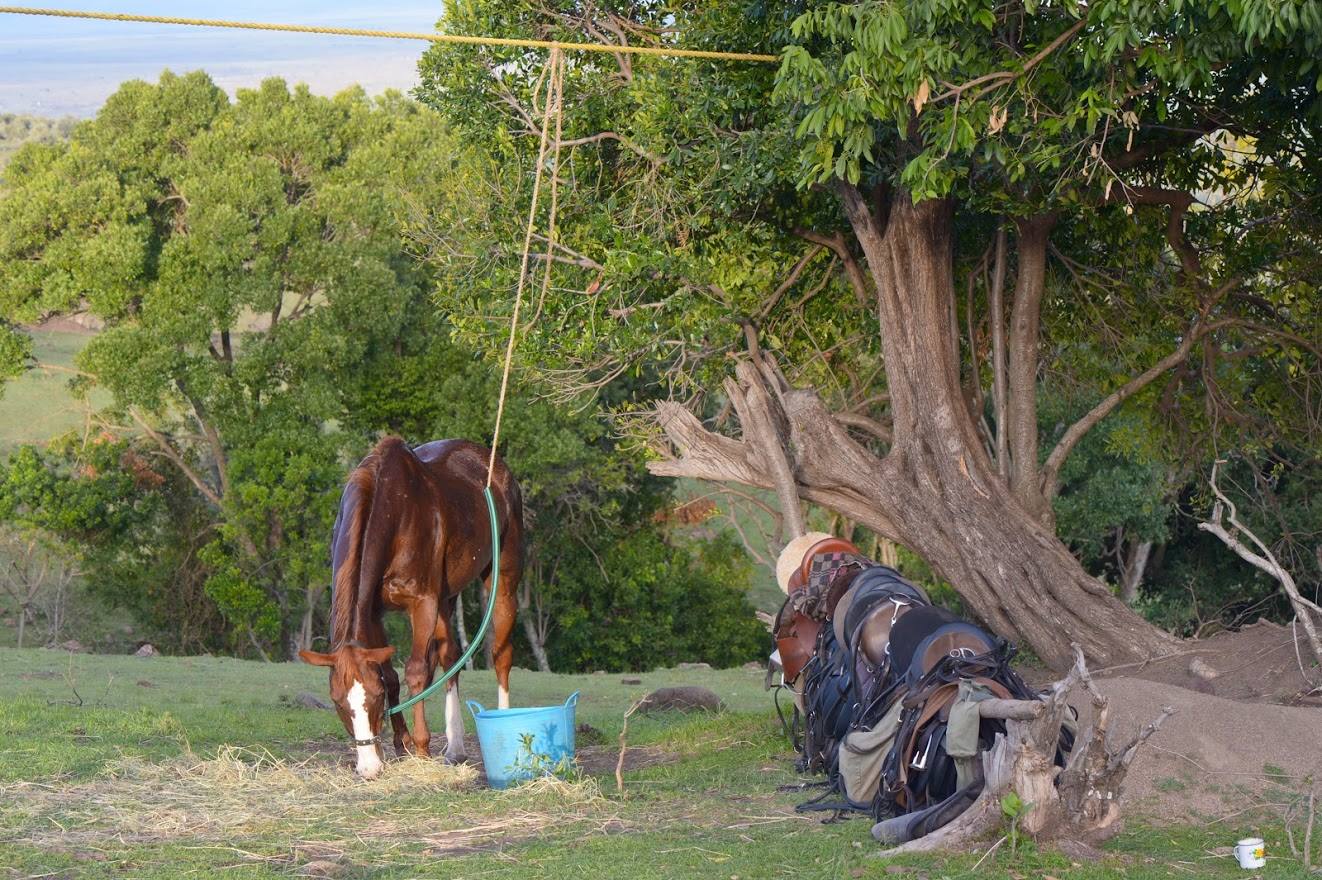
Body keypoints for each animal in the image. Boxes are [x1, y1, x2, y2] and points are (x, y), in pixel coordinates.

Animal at [299, 437, 524, 778]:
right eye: (337, 702)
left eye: (376, 698)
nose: (369, 767)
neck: (394, 510)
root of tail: (492, 462)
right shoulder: (373, 612)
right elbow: (393, 674)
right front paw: (400, 744)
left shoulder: (423, 603)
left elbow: (416, 672)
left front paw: (420, 747)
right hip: (446, 598)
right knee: (450, 657)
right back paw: (455, 746)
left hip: (503, 581)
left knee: (501, 655)